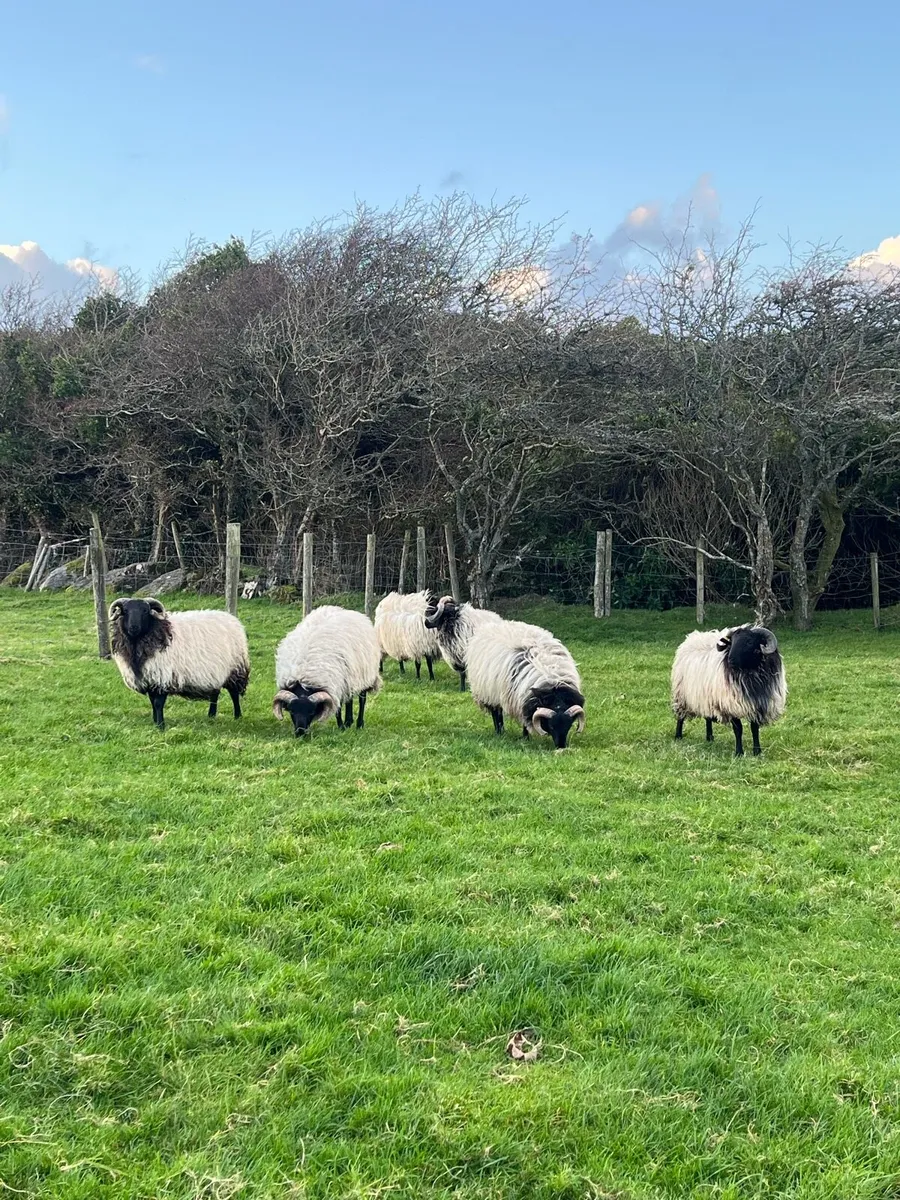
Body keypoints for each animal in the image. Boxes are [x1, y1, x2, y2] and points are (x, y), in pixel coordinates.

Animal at [109, 597, 250, 729]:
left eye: (145, 611)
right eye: (125, 610)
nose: (134, 627)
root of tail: (232, 619)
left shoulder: (162, 678)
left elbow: (158, 704)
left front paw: (161, 726)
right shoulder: (150, 679)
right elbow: (152, 703)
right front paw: (155, 722)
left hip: (235, 669)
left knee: (234, 694)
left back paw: (237, 716)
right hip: (215, 671)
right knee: (215, 693)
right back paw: (211, 715)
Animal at [272, 605, 382, 736]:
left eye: (311, 712)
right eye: (292, 711)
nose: (300, 732)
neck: (303, 679)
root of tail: (347, 610)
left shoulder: (335, 686)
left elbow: (338, 709)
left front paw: (341, 727)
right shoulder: (337, 685)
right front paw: (343, 726)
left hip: (363, 675)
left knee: (362, 700)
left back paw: (359, 724)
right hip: (349, 679)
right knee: (349, 700)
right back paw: (348, 722)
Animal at [467, 619, 586, 749]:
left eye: (569, 725)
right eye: (551, 726)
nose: (561, 746)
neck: (554, 684)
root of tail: (492, 625)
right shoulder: (521, 701)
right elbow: (524, 722)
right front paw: (526, 738)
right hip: (489, 692)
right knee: (496, 713)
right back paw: (500, 732)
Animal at [671, 623, 787, 756]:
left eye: (749, 641)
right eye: (731, 643)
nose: (731, 660)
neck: (750, 673)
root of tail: (692, 637)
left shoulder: (757, 704)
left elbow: (754, 729)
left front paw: (757, 751)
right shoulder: (731, 704)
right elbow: (738, 729)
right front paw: (739, 752)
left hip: (706, 695)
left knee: (707, 717)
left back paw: (709, 737)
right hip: (681, 694)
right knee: (680, 716)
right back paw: (678, 736)